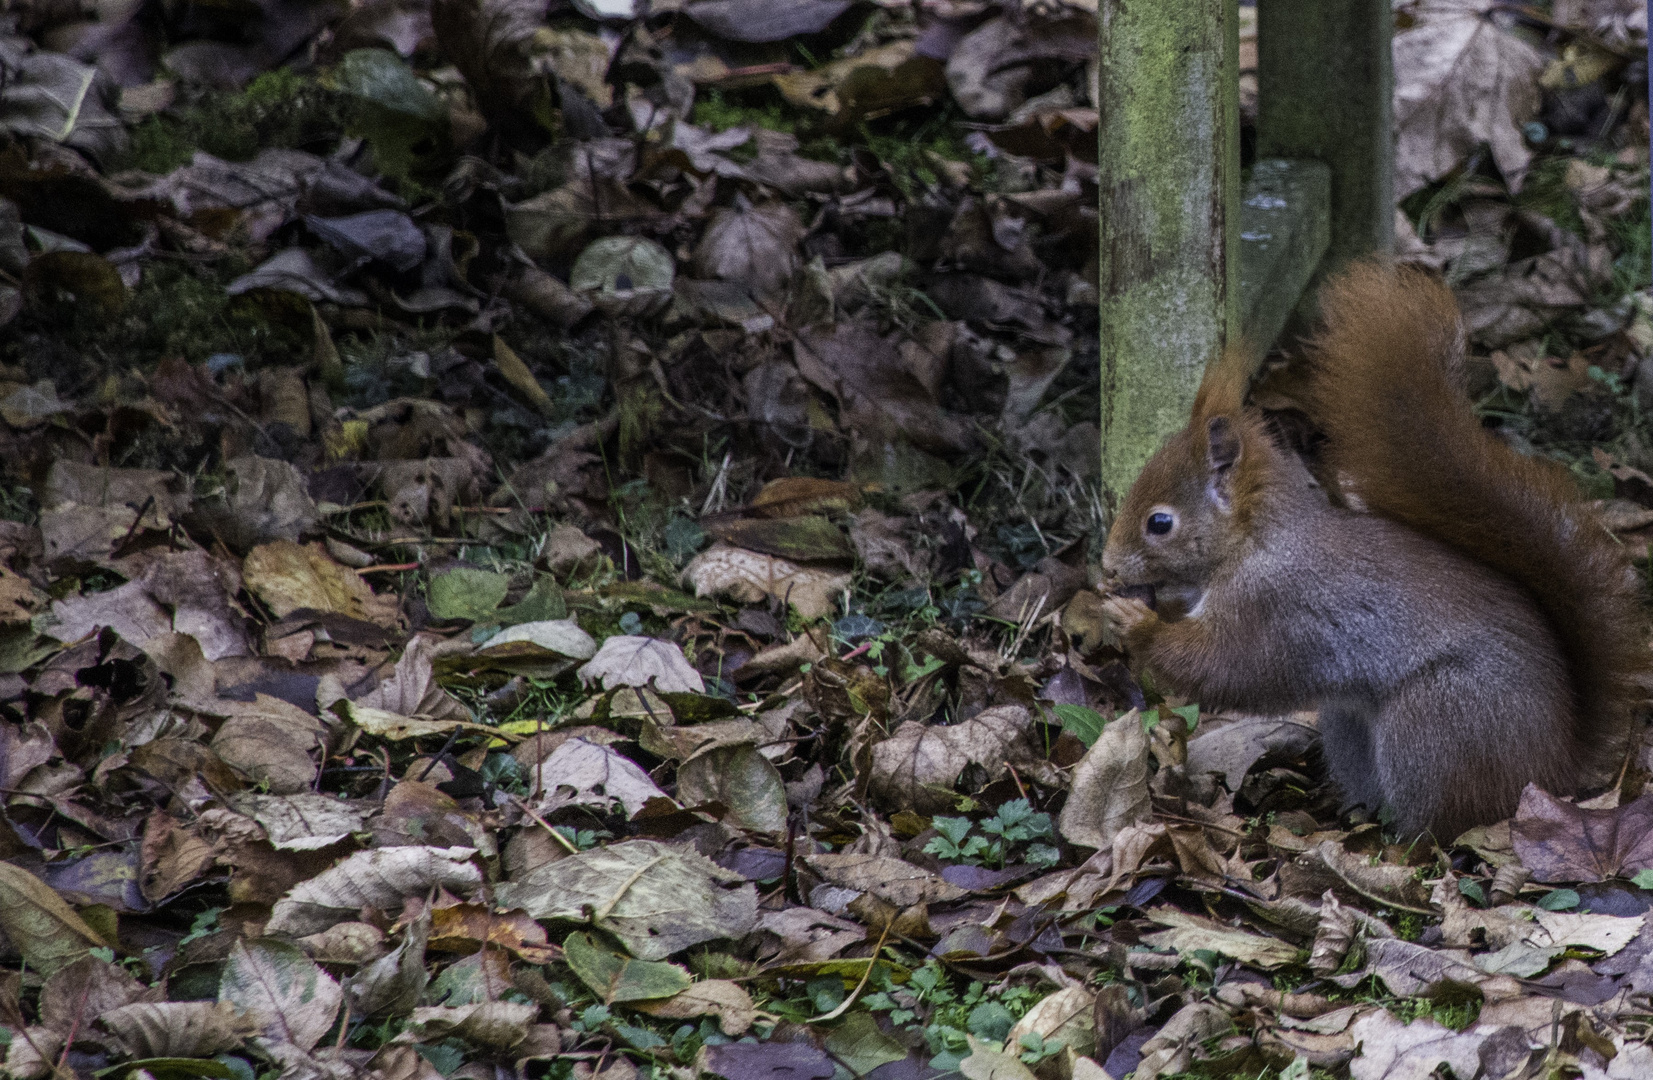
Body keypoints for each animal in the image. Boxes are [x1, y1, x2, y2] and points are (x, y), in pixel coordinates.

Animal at [1097, 259, 1639, 833]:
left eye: (1160, 523)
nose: (1107, 565)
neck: (1257, 541)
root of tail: (1555, 768)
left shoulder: (1273, 607)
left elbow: (1224, 666)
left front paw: (1136, 622)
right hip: (1349, 724)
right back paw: (1353, 814)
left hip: (1434, 724)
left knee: (1447, 818)